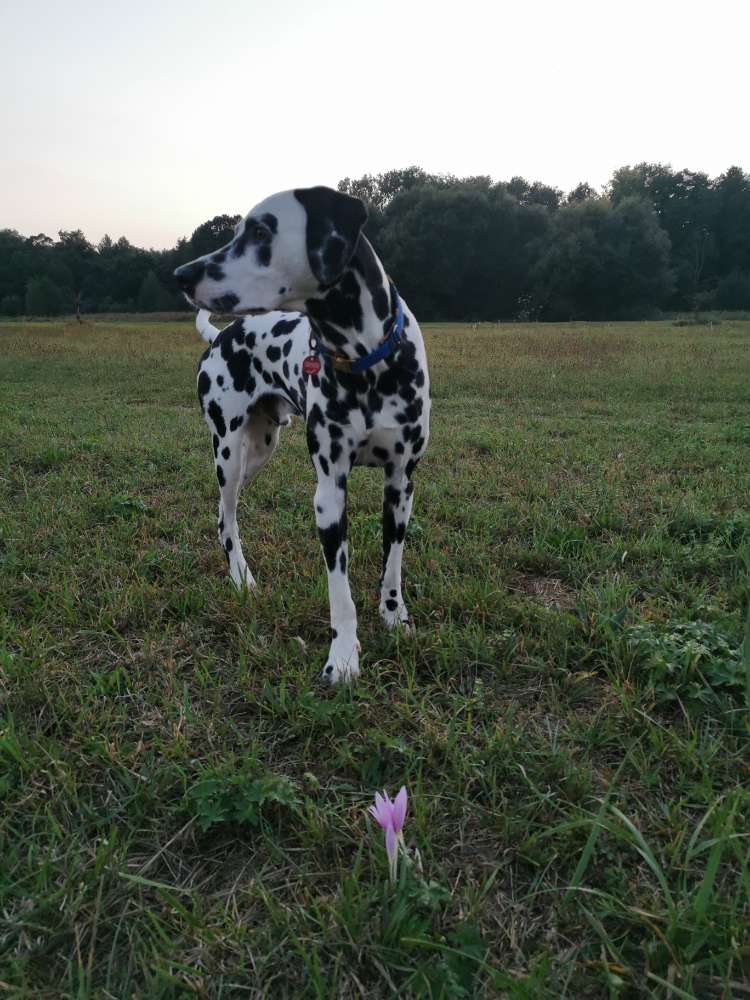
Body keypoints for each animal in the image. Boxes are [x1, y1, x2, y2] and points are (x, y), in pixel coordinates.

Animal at [174, 188, 432, 684]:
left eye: (260, 231)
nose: (181, 274)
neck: (366, 362)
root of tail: (219, 337)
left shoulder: (401, 484)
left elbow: (392, 565)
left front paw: (394, 617)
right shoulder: (329, 495)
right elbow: (340, 595)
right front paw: (344, 657)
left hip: (259, 450)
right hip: (228, 453)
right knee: (226, 517)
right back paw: (242, 579)